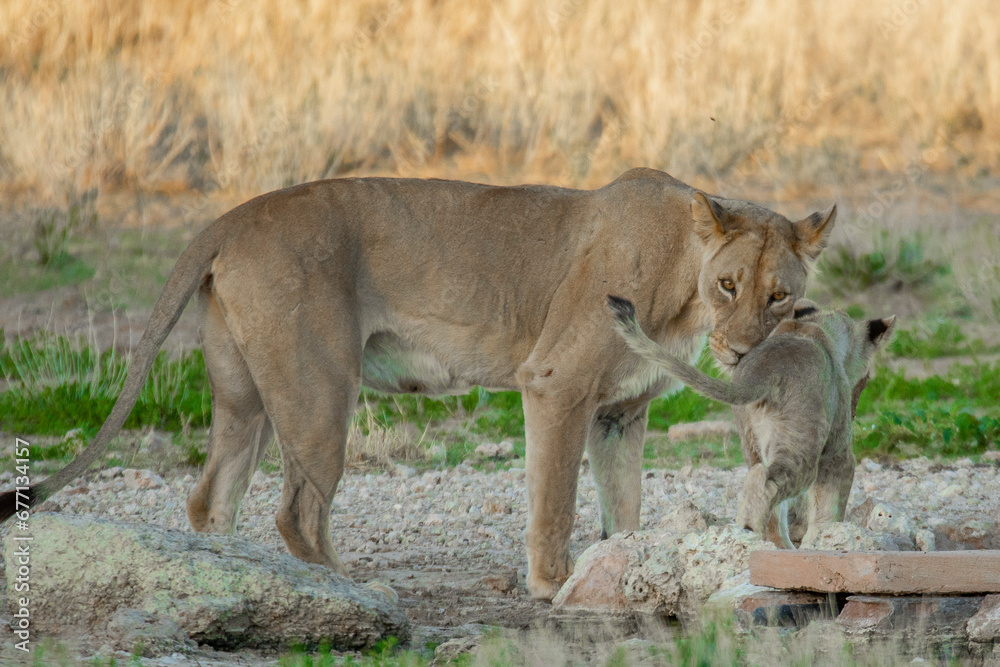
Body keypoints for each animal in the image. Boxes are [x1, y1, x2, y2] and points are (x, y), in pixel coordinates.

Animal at [0, 168, 835, 600]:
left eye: (779, 297)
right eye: (728, 284)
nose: (740, 350)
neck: (683, 282)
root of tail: (232, 215)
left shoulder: (619, 414)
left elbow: (623, 508)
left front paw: (623, 572)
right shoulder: (556, 383)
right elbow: (556, 502)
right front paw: (552, 586)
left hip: (246, 396)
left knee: (213, 496)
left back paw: (241, 578)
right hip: (319, 388)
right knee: (298, 510)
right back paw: (350, 590)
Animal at [607, 295, 894, 548]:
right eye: (867, 379)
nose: (855, 410)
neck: (813, 326)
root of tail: (764, 372)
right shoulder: (837, 452)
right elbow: (830, 506)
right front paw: (827, 539)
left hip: (753, 439)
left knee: (766, 494)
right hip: (804, 444)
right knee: (767, 481)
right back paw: (752, 531)